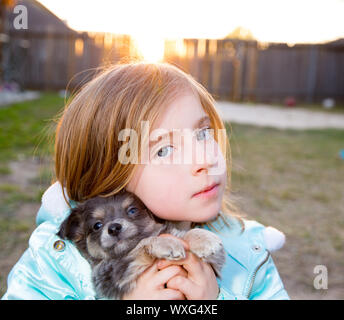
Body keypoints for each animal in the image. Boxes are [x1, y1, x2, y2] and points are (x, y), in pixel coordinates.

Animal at [57, 189, 226, 298]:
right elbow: (144, 242)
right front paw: (166, 243)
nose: (114, 228)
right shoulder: (115, 273)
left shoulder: (215, 266)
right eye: (97, 226)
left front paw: (204, 239)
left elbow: (184, 234)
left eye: (132, 211)